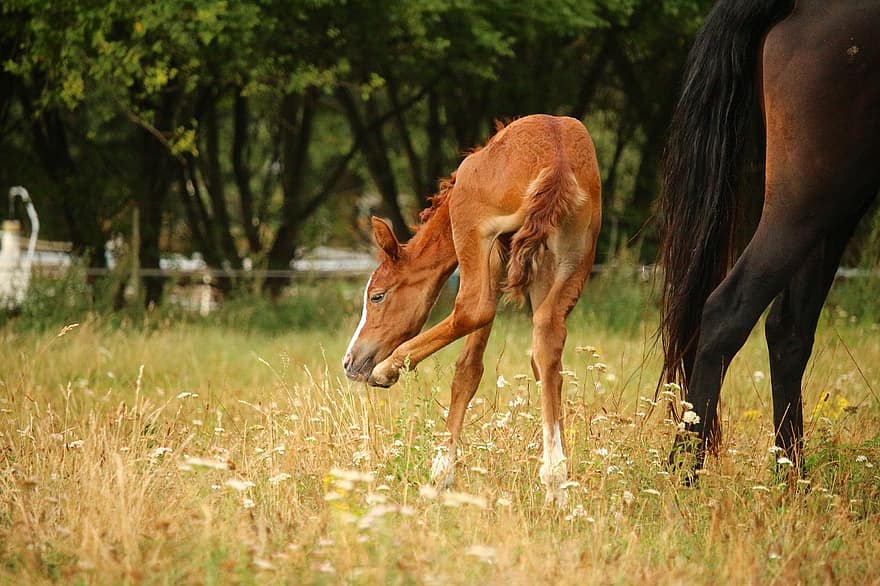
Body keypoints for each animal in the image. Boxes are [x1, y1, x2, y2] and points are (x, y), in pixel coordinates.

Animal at [664, 0, 876, 476]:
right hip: (813, 196)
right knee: (730, 310)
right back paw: (683, 472)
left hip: (835, 206)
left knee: (788, 330)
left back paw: (791, 479)